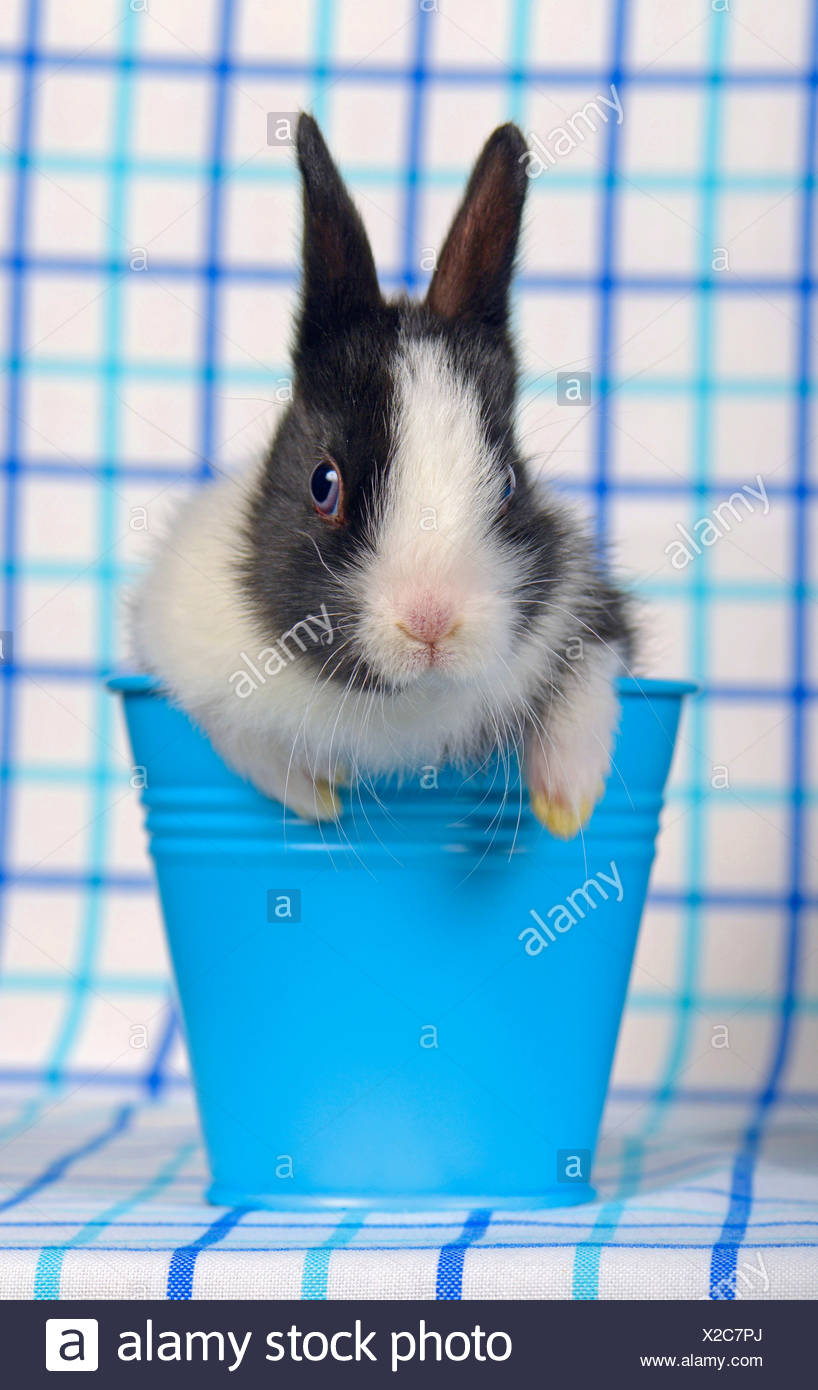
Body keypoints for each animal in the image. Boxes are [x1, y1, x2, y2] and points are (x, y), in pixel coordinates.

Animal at [130, 113, 634, 838]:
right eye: (323, 483)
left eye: (508, 484)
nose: (432, 622)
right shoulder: (173, 642)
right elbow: (235, 735)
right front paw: (316, 795)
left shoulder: (583, 602)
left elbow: (592, 676)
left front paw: (567, 802)